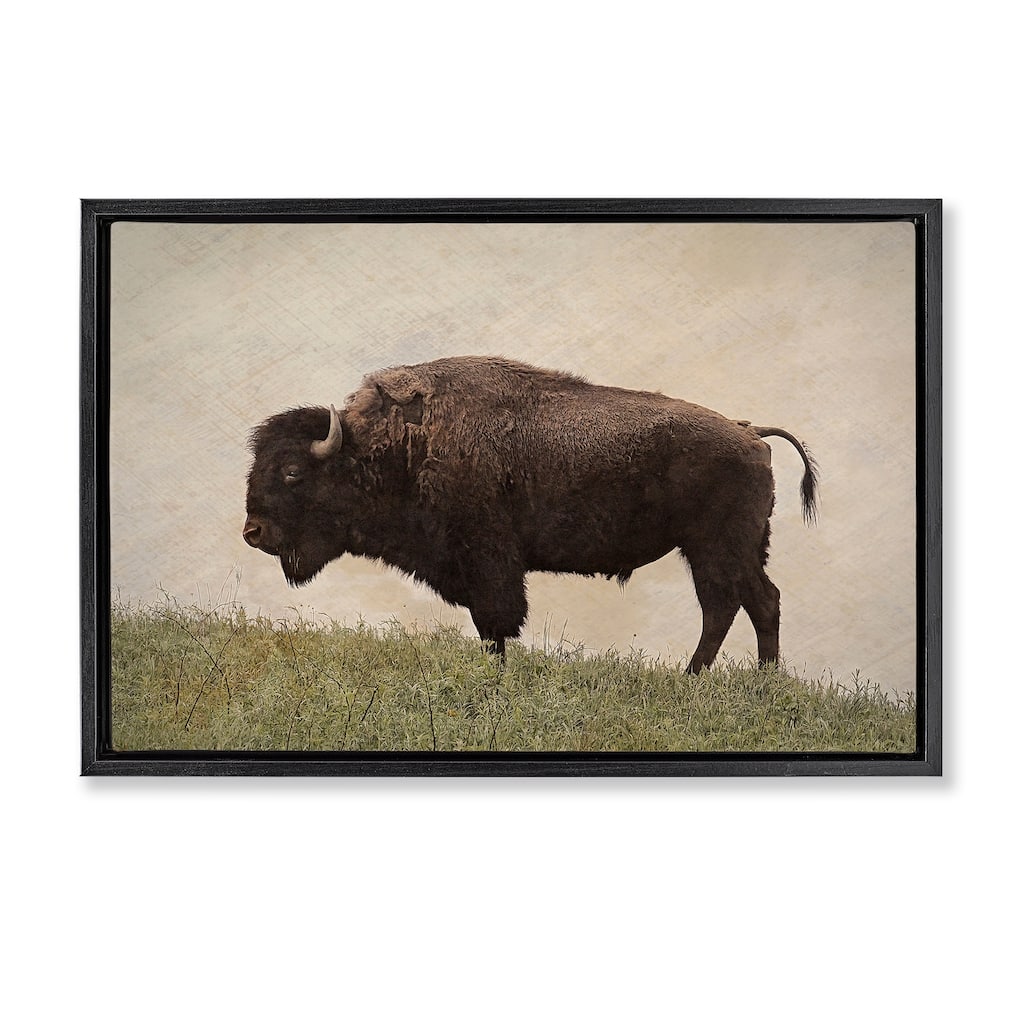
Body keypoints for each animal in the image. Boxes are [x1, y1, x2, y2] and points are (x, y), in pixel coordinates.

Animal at [243, 355, 818, 671]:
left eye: (292, 471)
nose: (253, 532)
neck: (400, 443)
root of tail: (749, 433)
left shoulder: (489, 563)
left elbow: (495, 624)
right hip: (727, 550)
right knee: (746, 604)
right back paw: (738, 683)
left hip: (718, 548)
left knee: (738, 604)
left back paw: (719, 682)